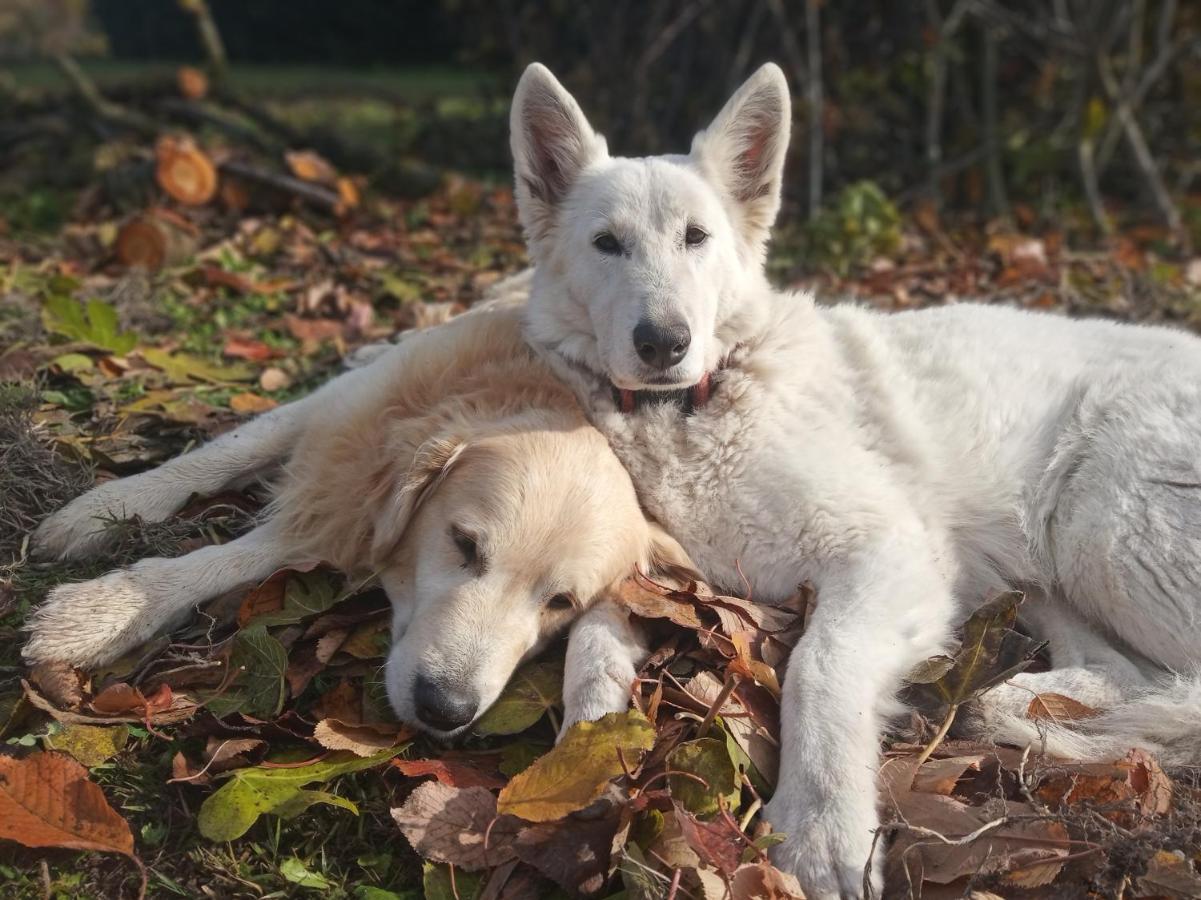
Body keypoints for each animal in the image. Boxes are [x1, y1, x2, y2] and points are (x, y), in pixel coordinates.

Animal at [25, 304, 686, 735]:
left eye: (562, 603)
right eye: (463, 544)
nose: (443, 709)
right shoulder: (346, 420)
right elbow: (227, 453)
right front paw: (102, 559)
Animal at [511, 61, 1201, 893]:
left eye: (695, 239)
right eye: (605, 244)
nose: (663, 343)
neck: (688, 411)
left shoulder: (883, 554)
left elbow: (820, 665)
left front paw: (821, 828)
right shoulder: (665, 578)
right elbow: (589, 638)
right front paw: (584, 748)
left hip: (1103, 525)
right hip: (1054, 572)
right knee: (1117, 666)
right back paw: (1032, 700)